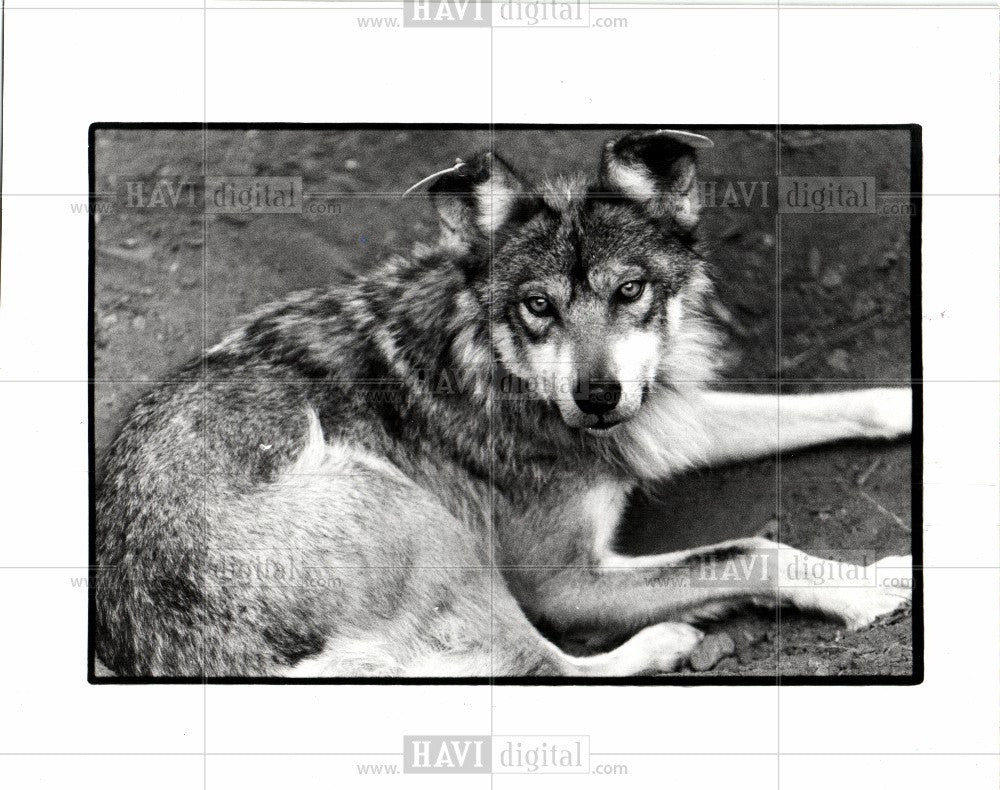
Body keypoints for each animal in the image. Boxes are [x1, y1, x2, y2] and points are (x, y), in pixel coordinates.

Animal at [95, 131, 916, 680]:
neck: (500, 370)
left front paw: (905, 404)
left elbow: (815, 409)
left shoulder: (657, 419)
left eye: (630, 290)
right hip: (422, 514)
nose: (597, 395)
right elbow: (751, 547)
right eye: (537, 306)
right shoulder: (564, 582)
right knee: (545, 666)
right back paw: (667, 642)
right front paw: (866, 589)